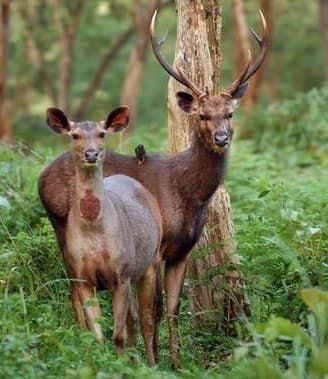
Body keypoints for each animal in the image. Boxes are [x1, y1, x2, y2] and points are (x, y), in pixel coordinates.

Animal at [43, 106, 163, 366]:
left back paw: (151, 364)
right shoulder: (83, 277)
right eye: (75, 135)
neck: (94, 233)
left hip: (150, 261)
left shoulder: (121, 273)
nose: (91, 153)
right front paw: (102, 365)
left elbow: (117, 335)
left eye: (101, 134)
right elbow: (97, 334)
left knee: (147, 320)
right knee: (133, 319)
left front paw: (120, 365)